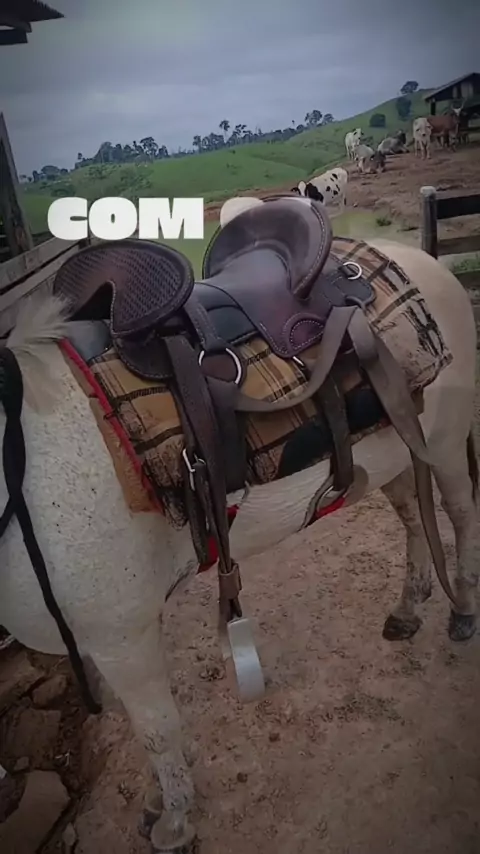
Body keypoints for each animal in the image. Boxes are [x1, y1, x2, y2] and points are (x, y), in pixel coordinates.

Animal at [0, 230, 478, 852]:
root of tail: (419, 260)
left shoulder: (121, 634)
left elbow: (157, 730)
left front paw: (174, 822)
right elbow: (144, 728)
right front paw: (158, 804)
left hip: (444, 441)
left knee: (460, 514)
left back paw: (462, 609)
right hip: (395, 444)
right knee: (412, 518)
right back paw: (407, 608)